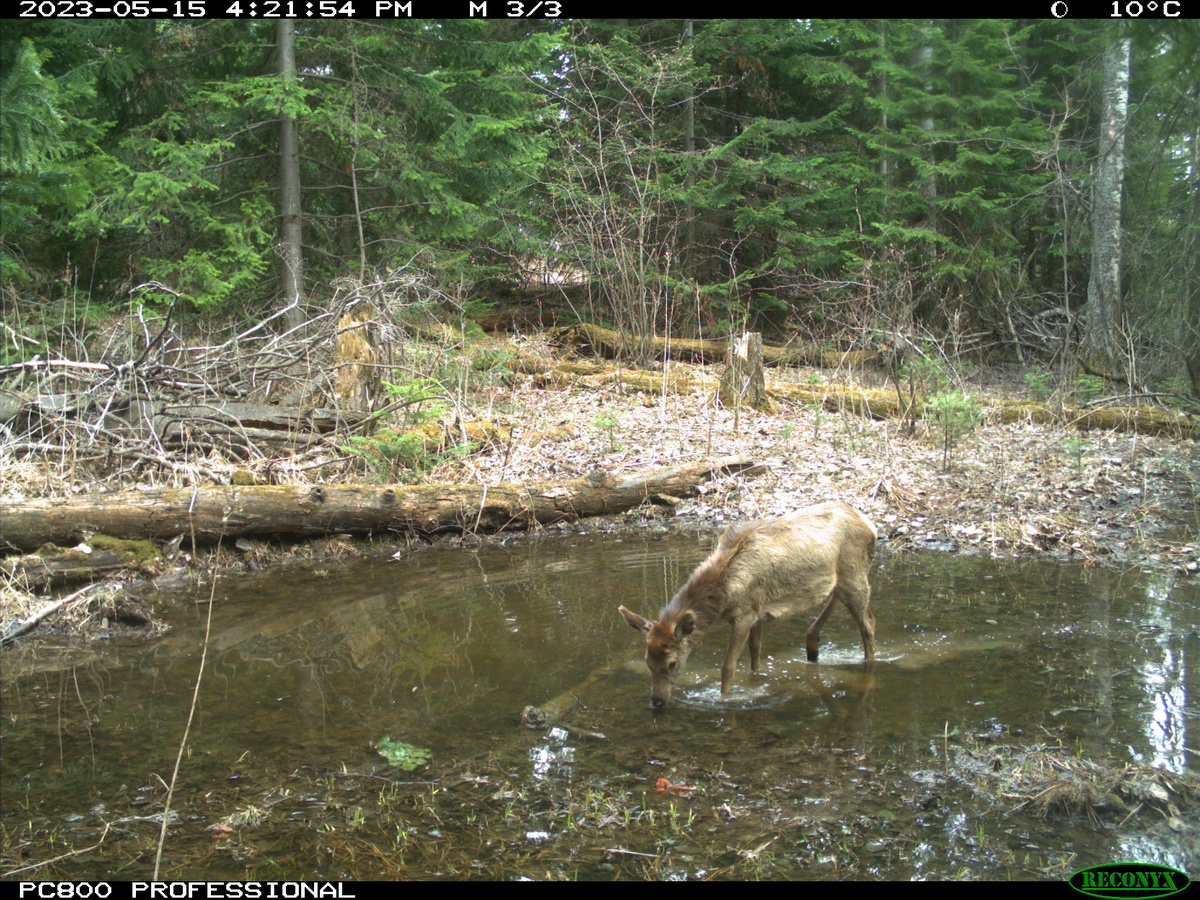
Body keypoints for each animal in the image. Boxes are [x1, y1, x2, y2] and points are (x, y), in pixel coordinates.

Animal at [619, 504, 873, 710]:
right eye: (647, 661)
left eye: (672, 663)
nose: (657, 701)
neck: (724, 596)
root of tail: (871, 525)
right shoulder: (758, 613)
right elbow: (755, 654)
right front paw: (756, 683)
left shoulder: (745, 614)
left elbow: (728, 666)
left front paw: (724, 699)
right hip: (841, 578)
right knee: (836, 600)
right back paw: (812, 645)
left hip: (855, 575)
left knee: (868, 625)